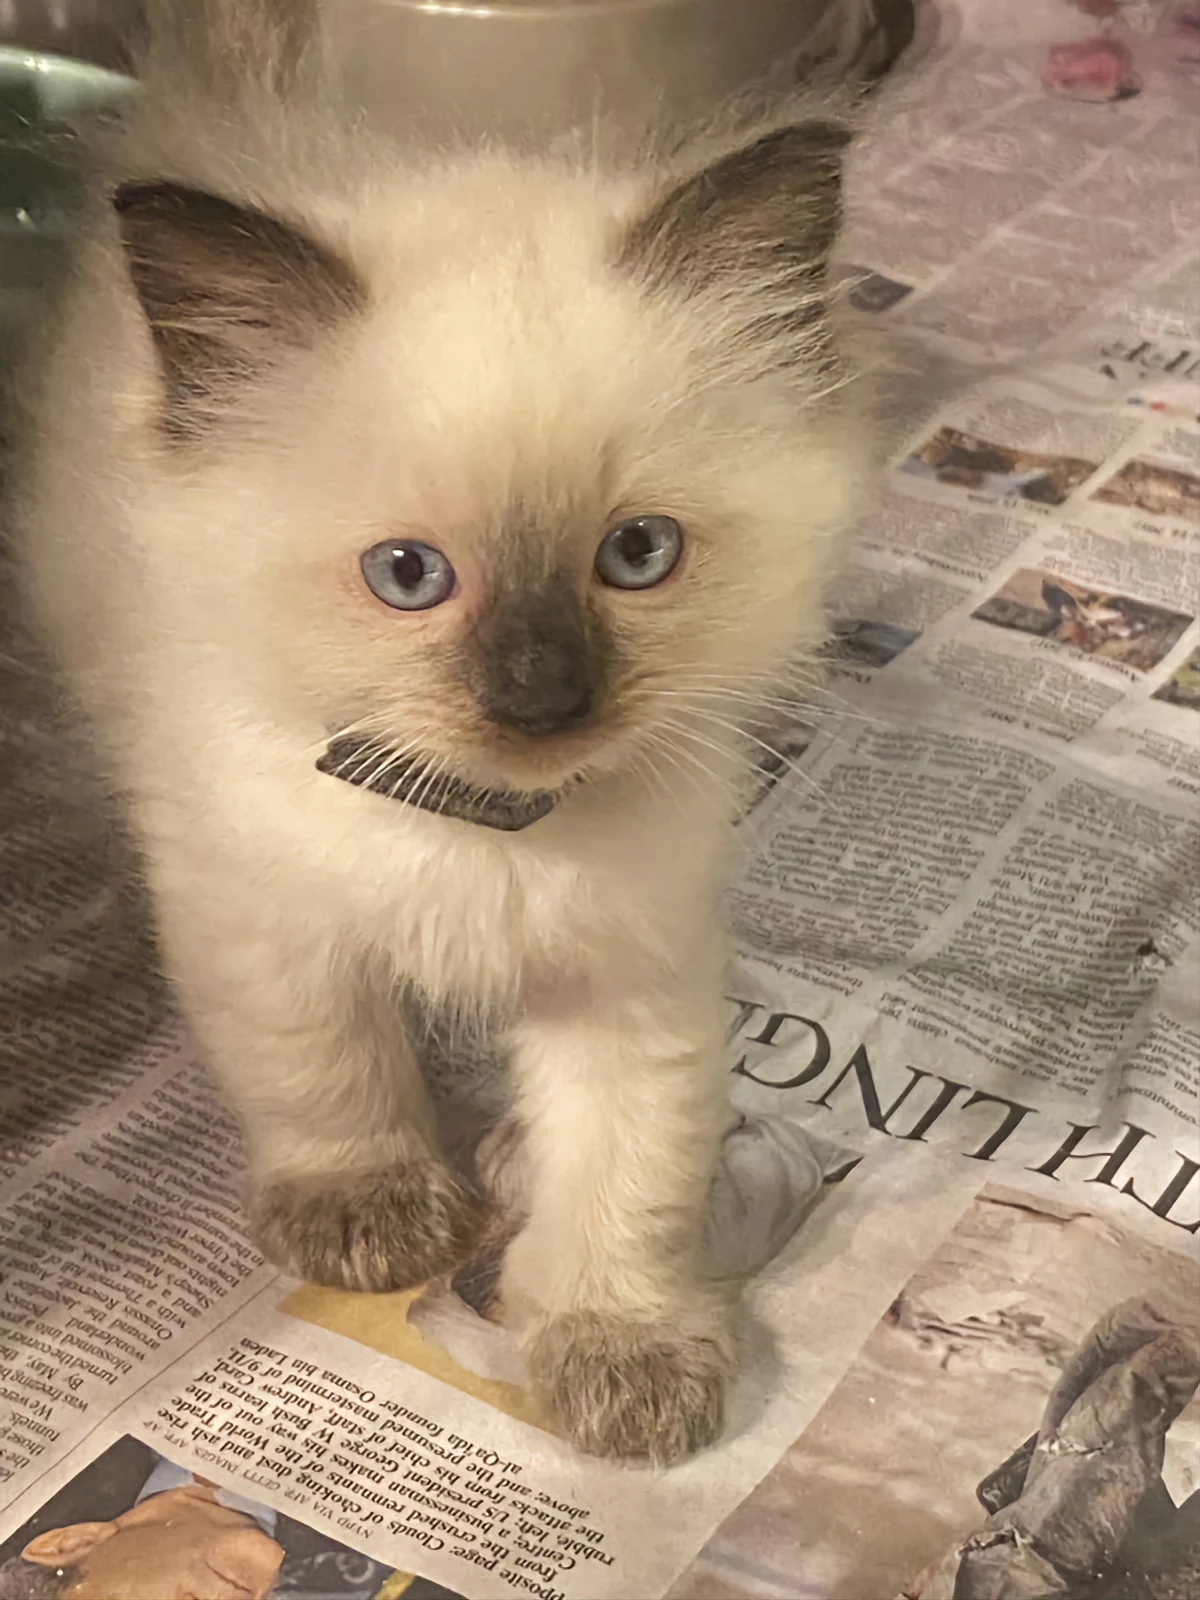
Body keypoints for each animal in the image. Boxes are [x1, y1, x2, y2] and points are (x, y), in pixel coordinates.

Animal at [12, 1, 871, 1463]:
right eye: (409, 576)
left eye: (637, 556)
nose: (542, 699)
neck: (480, 825)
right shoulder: (263, 919)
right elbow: (326, 1076)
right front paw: (373, 1220)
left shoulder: (627, 968)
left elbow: (624, 1174)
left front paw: (619, 1355)